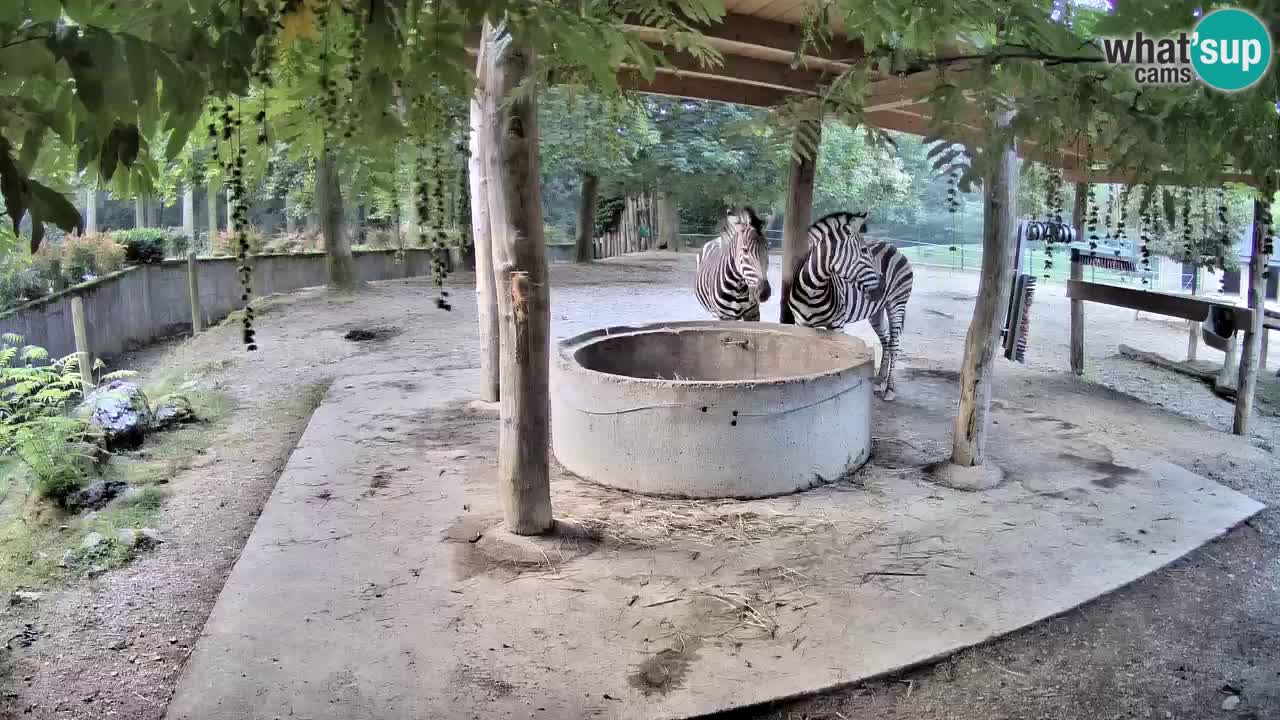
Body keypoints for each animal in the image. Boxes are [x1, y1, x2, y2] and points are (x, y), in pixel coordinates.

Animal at [783, 210, 916, 397]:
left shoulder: (838, 323)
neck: (812, 291)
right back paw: (878, 381)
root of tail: (893, 247)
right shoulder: (800, 324)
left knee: (894, 343)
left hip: (897, 303)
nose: (881, 290)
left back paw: (889, 388)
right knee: (885, 341)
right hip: (876, 311)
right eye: (864, 250)